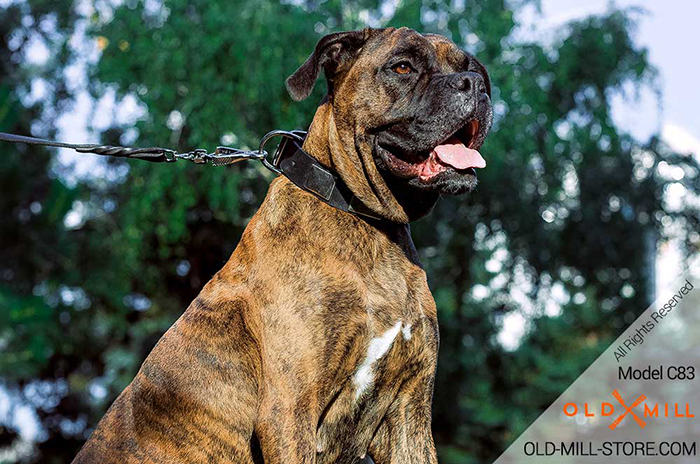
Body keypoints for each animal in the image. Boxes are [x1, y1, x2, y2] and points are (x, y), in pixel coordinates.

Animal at [74, 26, 492, 464]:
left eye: (471, 68)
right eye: (403, 67)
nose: (474, 84)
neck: (370, 224)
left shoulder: (409, 413)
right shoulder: (289, 412)